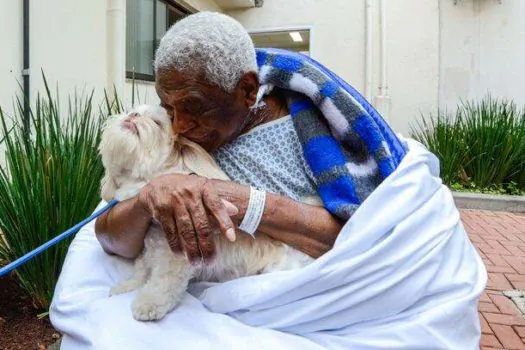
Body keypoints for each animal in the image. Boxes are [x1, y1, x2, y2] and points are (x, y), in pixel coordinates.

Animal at [97, 105, 312, 322]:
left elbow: (163, 283)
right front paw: (127, 286)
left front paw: (148, 305)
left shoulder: (175, 257)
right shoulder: (149, 248)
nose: (133, 116)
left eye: (157, 122)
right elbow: (141, 270)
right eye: (131, 111)